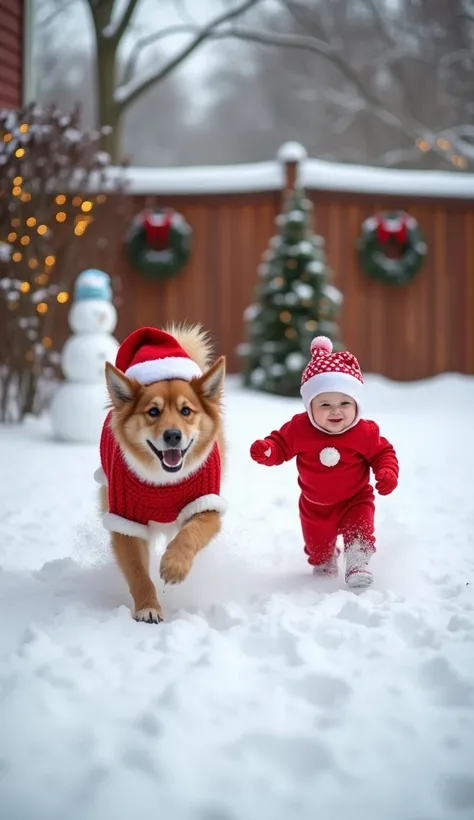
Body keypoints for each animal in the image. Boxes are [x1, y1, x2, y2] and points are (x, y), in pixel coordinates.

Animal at [95, 320, 227, 620]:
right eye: (153, 412)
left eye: (186, 411)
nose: (172, 435)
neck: (165, 482)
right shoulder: (125, 520)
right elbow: (137, 572)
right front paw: (148, 607)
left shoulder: (206, 504)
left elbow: (190, 534)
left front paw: (175, 564)